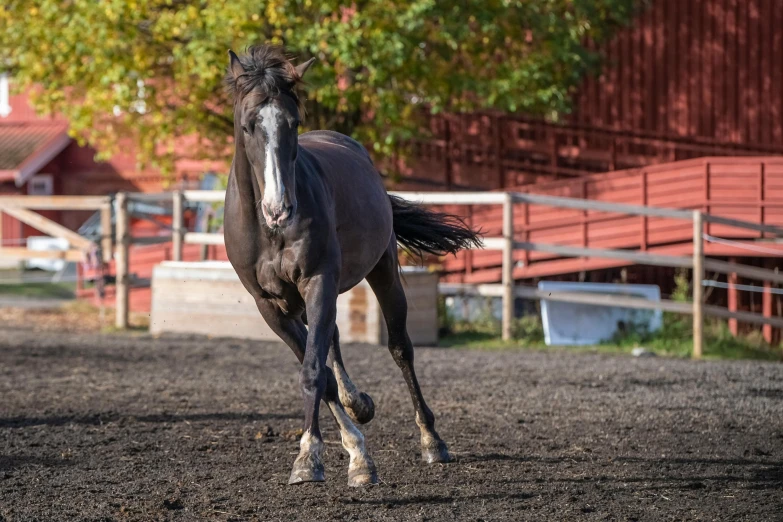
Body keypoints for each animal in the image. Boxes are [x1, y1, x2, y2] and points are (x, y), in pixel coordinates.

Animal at [222, 45, 484, 488]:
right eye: (247, 125)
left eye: (294, 122)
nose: (279, 209)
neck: (268, 231)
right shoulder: (269, 305)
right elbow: (320, 370)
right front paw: (354, 451)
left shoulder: (319, 282)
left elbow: (313, 369)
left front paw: (309, 458)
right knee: (334, 340)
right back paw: (357, 405)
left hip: (384, 272)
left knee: (400, 348)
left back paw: (432, 441)